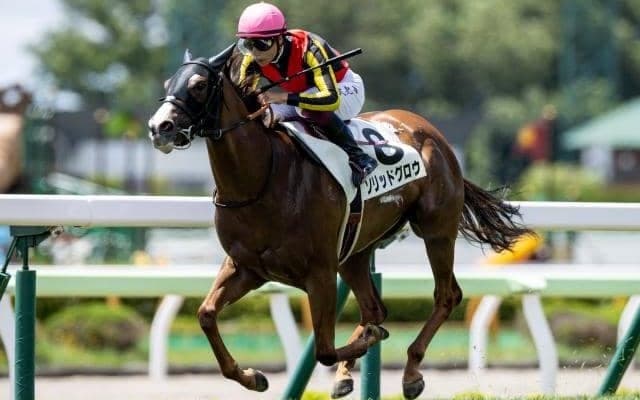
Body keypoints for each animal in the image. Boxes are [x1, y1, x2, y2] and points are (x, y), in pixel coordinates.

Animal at [148, 44, 533, 399]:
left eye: (199, 85)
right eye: (168, 83)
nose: (158, 126)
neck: (261, 178)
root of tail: (431, 132)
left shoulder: (319, 271)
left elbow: (324, 349)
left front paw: (368, 342)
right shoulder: (247, 268)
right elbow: (206, 314)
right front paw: (252, 376)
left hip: (436, 230)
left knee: (446, 295)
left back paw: (410, 373)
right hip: (355, 252)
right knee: (374, 307)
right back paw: (350, 372)